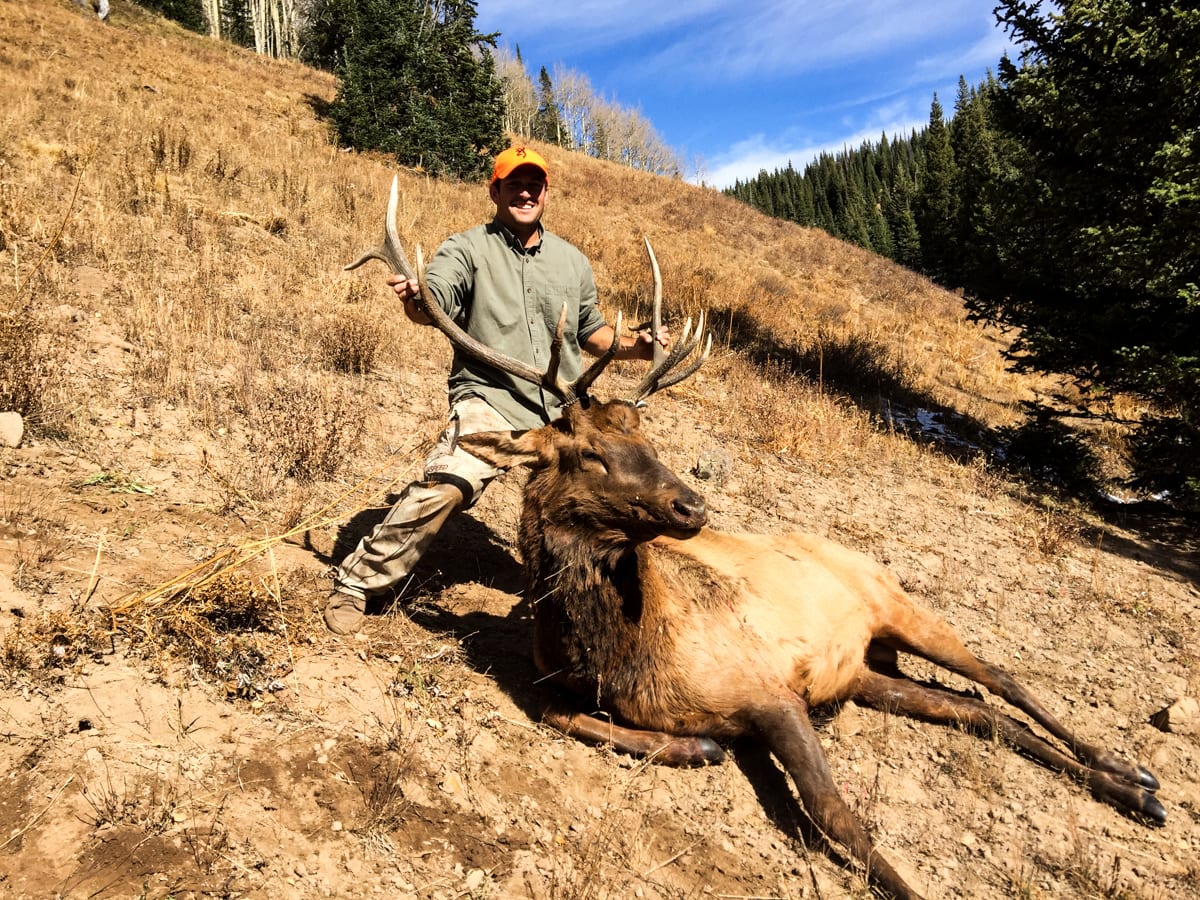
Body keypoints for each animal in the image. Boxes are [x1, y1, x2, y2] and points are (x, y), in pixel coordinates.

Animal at [350, 177, 1167, 900]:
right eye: (588, 453)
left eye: (649, 438)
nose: (691, 504)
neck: (623, 649)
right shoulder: (564, 687)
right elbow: (571, 717)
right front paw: (697, 744)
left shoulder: (768, 688)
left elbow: (840, 816)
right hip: (862, 670)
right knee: (976, 712)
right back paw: (1129, 789)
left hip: (897, 603)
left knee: (1001, 677)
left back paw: (1134, 775)